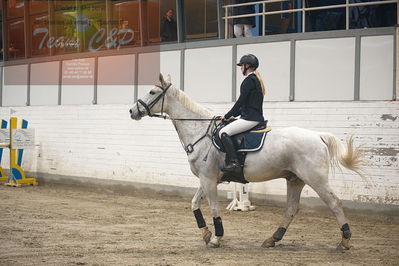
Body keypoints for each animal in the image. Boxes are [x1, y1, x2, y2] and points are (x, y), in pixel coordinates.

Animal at [130, 74, 366, 249]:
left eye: (152, 92)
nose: (132, 110)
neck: (200, 132)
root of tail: (318, 136)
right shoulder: (206, 180)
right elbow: (194, 203)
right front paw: (206, 233)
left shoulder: (208, 179)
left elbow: (213, 207)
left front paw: (216, 237)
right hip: (295, 179)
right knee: (291, 209)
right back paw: (273, 239)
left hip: (315, 179)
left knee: (334, 204)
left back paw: (345, 241)